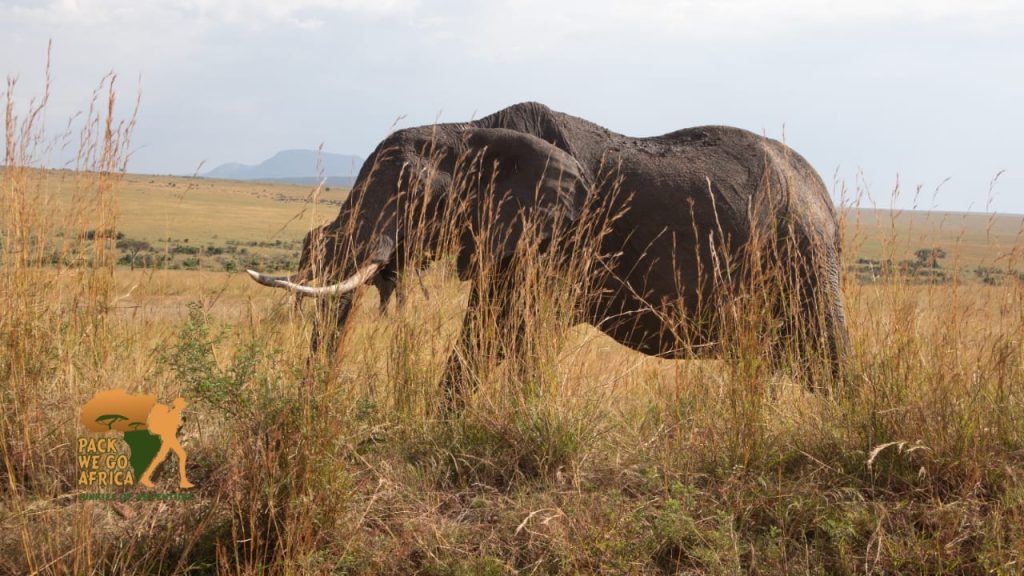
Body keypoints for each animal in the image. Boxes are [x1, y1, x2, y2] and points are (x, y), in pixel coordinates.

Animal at [247, 102, 850, 403]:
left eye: (410, 192)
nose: (311, 407)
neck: (472, 130)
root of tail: (821, 191)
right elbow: (486, 322)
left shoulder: (560, 239)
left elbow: (518, 326)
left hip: (804, 256)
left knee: (824, 351)